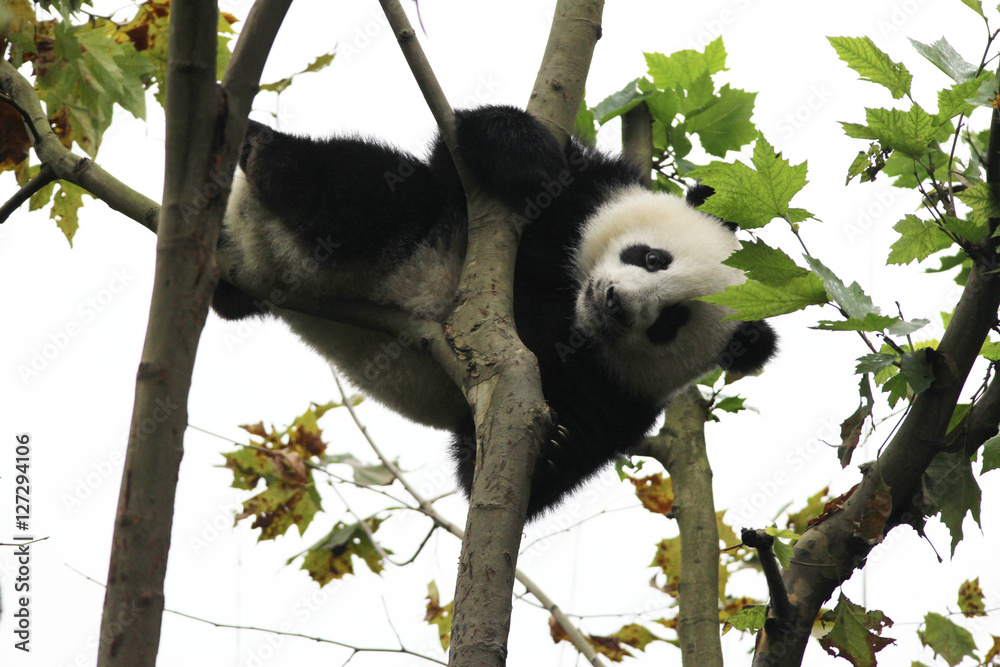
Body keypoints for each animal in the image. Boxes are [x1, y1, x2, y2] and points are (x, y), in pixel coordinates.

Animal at [212, 105, 777, 520]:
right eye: (653, 258)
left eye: (670, 322)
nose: (615, 305)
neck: (568, 311)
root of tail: (258, 246)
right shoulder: (579, 198)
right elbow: (468, 158)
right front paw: (518, 149)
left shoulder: (619, 398)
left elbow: (511, 470)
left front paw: (554, 445)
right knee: (369, 184)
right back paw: (267, 155)